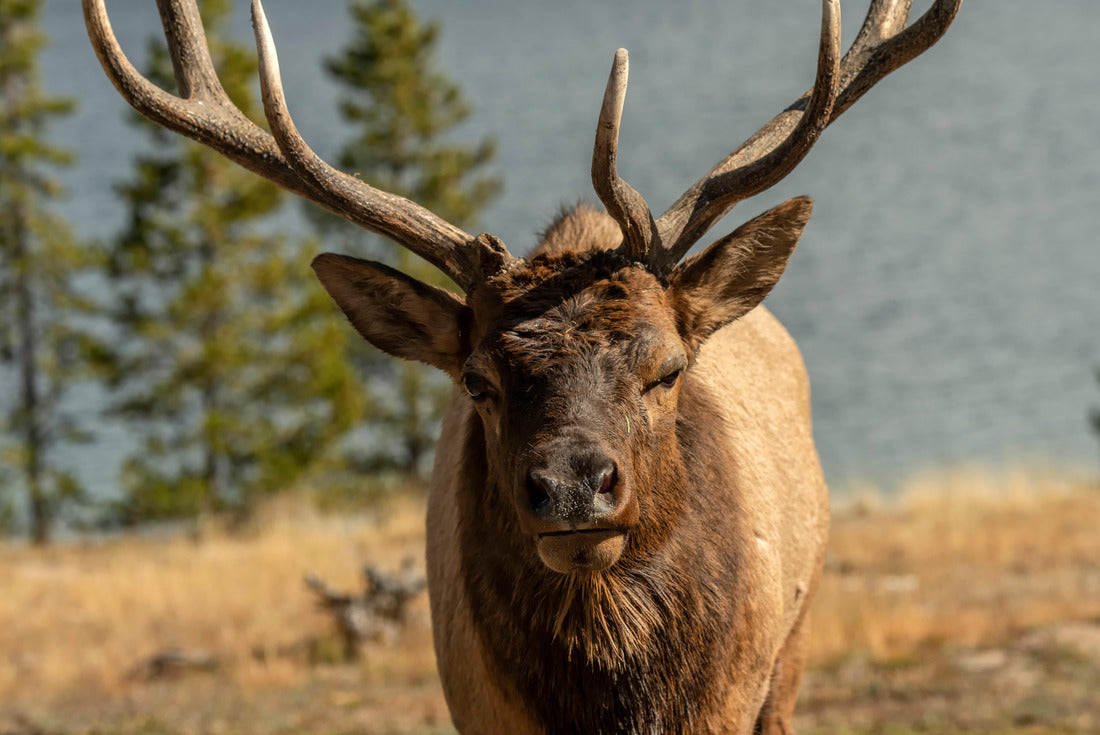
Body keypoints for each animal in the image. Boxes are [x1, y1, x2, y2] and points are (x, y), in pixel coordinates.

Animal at [84, 0, 961, 732]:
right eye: (478, 381)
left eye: (668, 368)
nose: (573, 485)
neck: (617, 708)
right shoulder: (480, 707)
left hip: (794, 645)